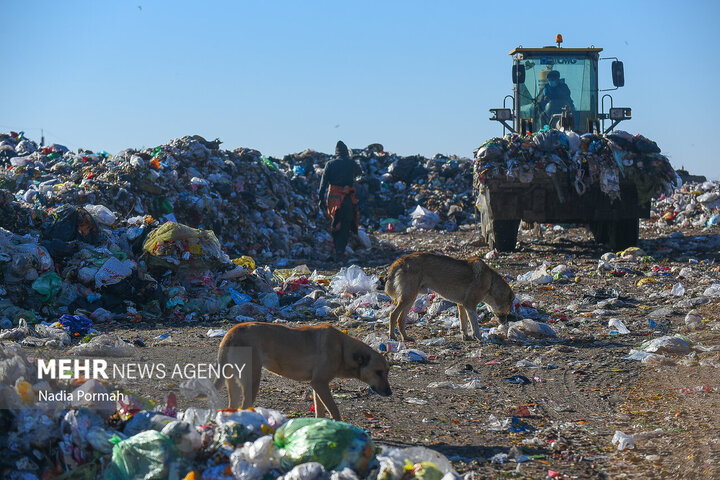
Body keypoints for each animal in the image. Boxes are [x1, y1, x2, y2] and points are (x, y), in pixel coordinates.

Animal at [217, 322, 390, 420]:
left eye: (386, 372)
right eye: (378, 372)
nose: (390, 393)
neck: (343, 350)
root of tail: (231, 333)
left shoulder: (317, 387)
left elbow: (320, 411)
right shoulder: (319, 384)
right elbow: (335, 411)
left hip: (233, 382)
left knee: (232, 407)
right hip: (252, 381)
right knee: (243, 407)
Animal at [386, 251, 516, 342]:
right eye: (508, 310)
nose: (504, 323)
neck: (490, 283)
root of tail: (400, 260)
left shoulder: (462, 305)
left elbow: (463, 324)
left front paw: (466, 337)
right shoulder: (470, 305)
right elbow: (474, 325)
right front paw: (478, 337)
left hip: (410, 298)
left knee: (400, 319)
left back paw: (406, 338)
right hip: (408, 297)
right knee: (393, 315)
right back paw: (392, 336)